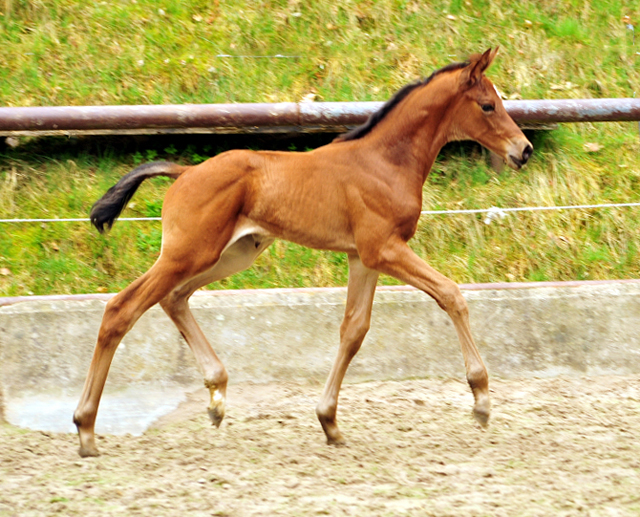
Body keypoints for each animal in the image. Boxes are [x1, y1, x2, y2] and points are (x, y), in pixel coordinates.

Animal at [72, 48, 532, 456]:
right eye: (488, 105)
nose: (523, 150)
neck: (384, 162)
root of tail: (185, 172)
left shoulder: (362, 257)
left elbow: (354, 330)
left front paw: (329, 422)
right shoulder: (384, 249)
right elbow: (451, 294)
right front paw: (481, 400)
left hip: (233, 254)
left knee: (173, 297)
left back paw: (217, 397)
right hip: (188, 254)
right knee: (121, 309)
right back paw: (86, 428)